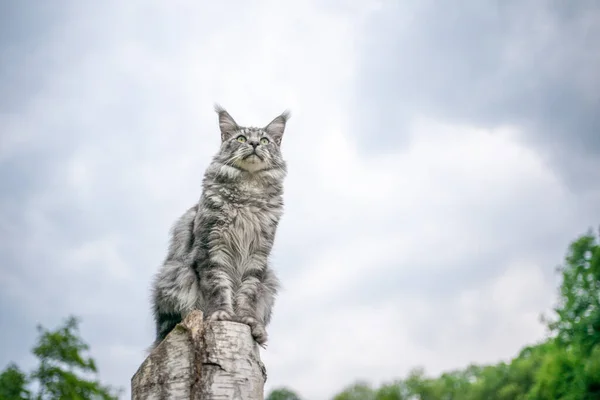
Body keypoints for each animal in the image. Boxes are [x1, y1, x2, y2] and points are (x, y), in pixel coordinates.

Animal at [150, 104, 290, 348]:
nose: (254, 144)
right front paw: (222, 314)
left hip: (269, 281)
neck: (248, 191)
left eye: (264, 140)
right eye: (241, 138)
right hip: (175, 276)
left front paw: (247, 320)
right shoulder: (212, 247)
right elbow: (218, 286)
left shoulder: (258, 255)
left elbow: (248, 293)